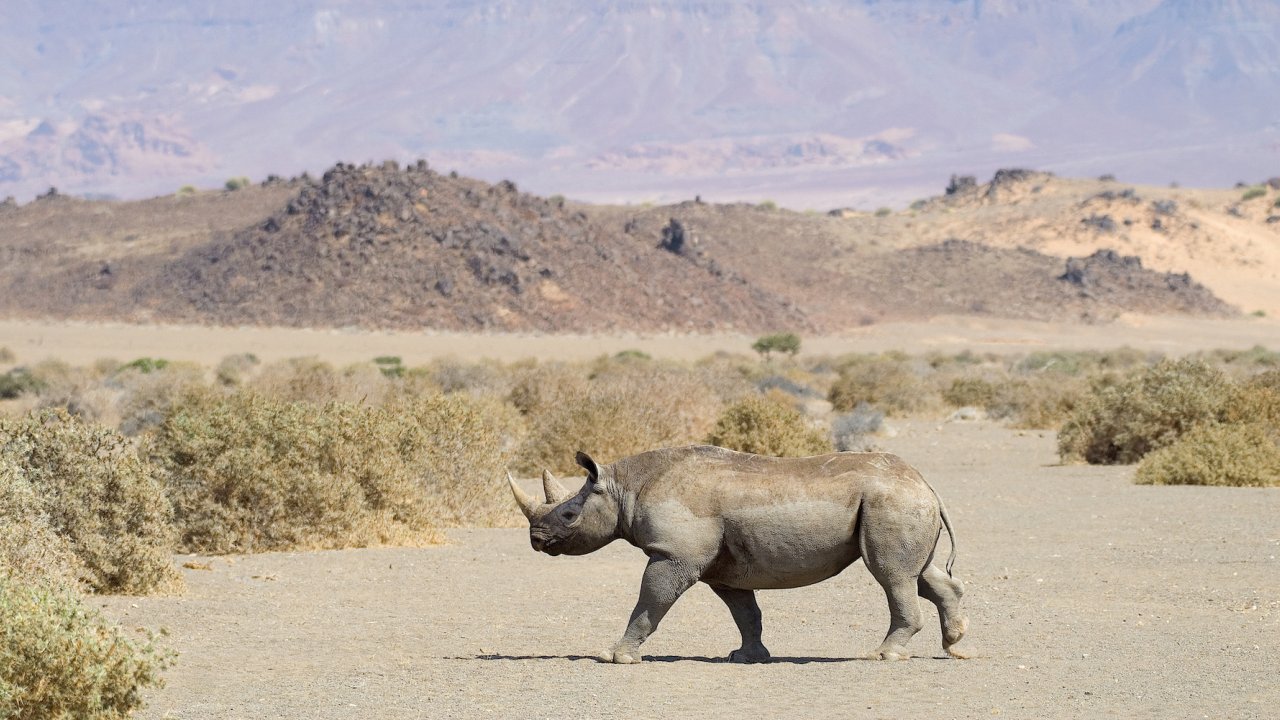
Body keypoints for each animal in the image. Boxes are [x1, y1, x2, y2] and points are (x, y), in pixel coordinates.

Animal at [508, 445, 967, 664]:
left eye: (569, 515)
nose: (536, 539)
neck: (624, 487)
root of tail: (924, 482)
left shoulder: (673, 555)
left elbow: (649, 601)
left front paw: (616, 656)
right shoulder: (723, 569)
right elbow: (745, 613)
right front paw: (747, 657)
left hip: (890, 501)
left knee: (891, 575)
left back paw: (883, 655)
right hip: (899, 501)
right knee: (921, 575)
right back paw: (956, 646)